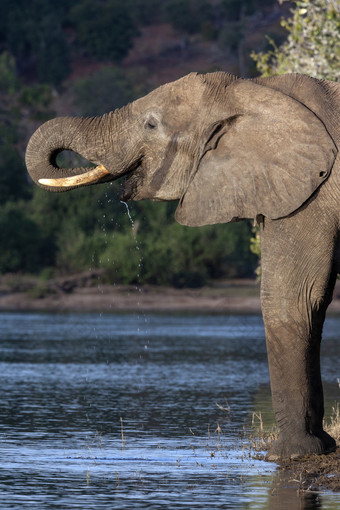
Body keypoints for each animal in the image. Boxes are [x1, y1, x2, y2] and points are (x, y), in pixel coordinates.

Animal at [25, 69, 340, 460]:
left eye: (151, 124)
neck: (255, 89)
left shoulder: (313, 195)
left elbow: (291, 297)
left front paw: (293, 454)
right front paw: (321, 446)